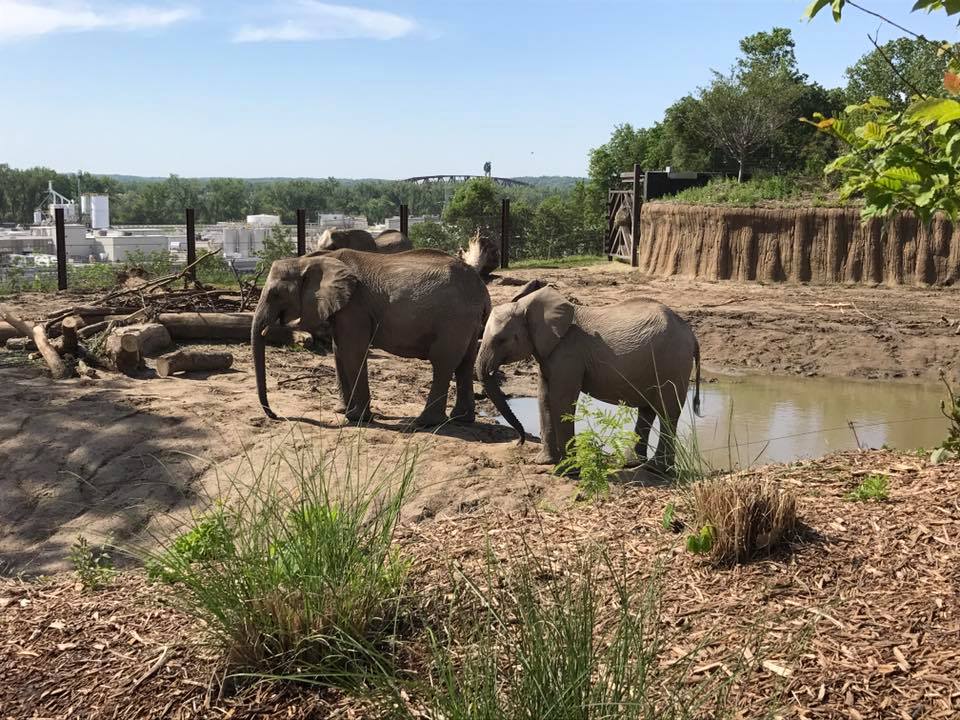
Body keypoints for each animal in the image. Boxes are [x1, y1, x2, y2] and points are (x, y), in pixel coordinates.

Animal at [252, 248, 490, 426]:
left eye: (275, 294)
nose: (274, 415)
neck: (307, 260)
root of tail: (482, 289)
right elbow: (339, 350)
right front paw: (342, 410)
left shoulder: (354, 307)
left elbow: (353, 351)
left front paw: (356, 418)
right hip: (467, 322)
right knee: (465, 362)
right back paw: (462, 419)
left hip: (454, 320)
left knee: (443, 362)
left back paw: (424, 423)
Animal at [476, 280, 702, 473]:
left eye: (501, 340)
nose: (519, 441)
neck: (527, 305)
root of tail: (691, 335)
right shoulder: (548, 352)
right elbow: (544, 398)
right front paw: (543, 463)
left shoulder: (569, 352)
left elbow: (561, 400)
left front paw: (567, 471)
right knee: (648, 409)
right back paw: (632, 464)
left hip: (673, 362)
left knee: (667, 411)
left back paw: (656, 469)